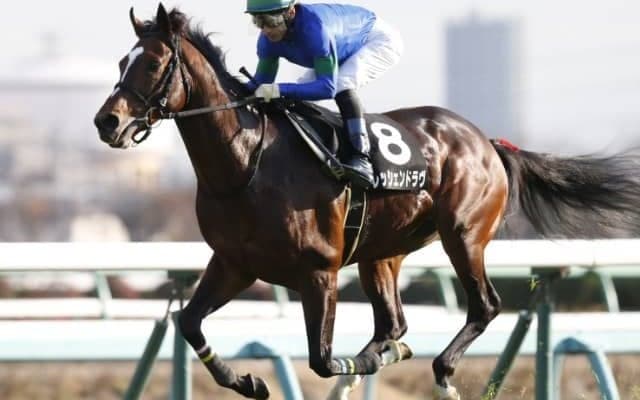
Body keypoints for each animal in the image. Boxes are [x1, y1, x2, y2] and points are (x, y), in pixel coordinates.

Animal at [94, 4, 640, 399]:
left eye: (154, 63)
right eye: (121, 62)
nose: (107, 122)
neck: (247, 164)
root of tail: (486, 141)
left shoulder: (320, 270)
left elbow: (320, 358)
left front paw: (346, 364)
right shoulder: (235, 264)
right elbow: (188, 322)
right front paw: (248, 381)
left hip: (463, 235)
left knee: (484, 305)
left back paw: (438, 366)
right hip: (382, 251)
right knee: (394, 320)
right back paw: (387, 351)